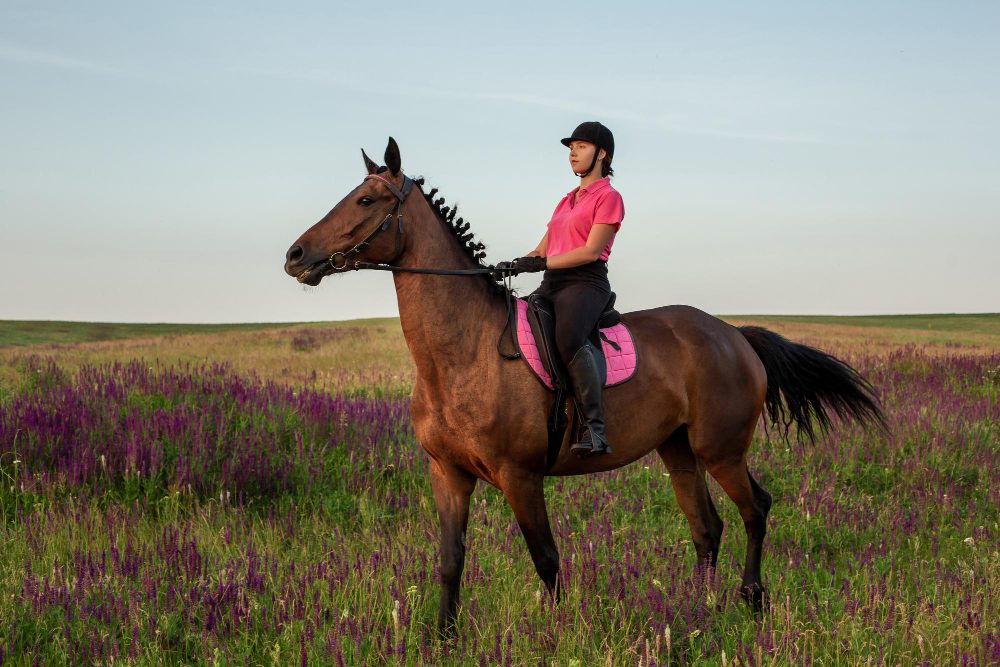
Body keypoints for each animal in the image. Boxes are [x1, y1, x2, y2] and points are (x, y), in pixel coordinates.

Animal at [284, 136, 884, 636]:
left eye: (366, 201)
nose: (295, 256)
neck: (462, 352)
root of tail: (734, 334)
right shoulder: (448, 473)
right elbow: (451, 560)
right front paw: (442, 638)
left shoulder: (521, 477)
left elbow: (546, 560)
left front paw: (558, 634)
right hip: (678, 450)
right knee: (707, 527)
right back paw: (696, 609)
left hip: (722, 450)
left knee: (755, 509)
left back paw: (752, 599)